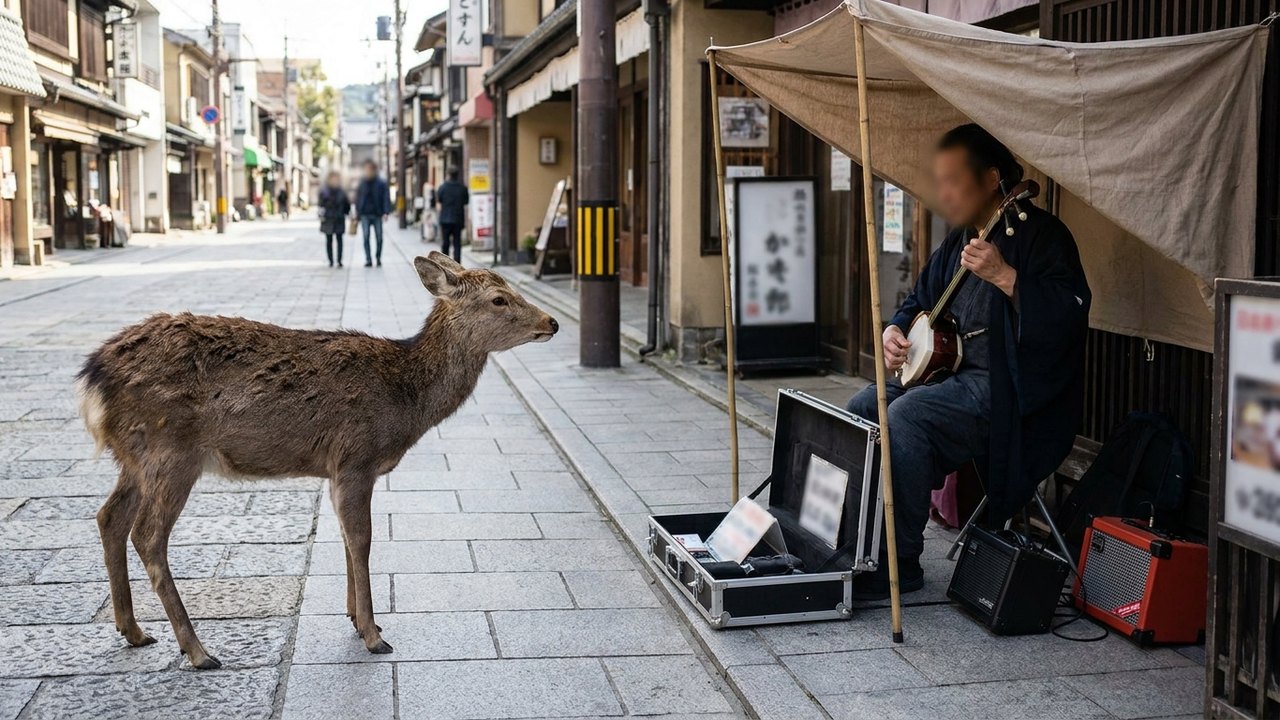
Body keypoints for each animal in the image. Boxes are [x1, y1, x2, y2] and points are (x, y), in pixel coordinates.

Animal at [76, 252, 558, 669]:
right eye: (498, 298)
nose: (551, 322)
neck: (405, 401)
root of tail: (92, 377)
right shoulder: (356, 456)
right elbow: (362, 539)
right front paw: (374, 636)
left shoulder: (335, 469)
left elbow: (345, 535)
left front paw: (358, 619)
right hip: (171, 451)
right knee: (147, 535)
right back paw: (198, 651)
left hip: (134, 456)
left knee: (109, 517)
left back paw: (134, 631)